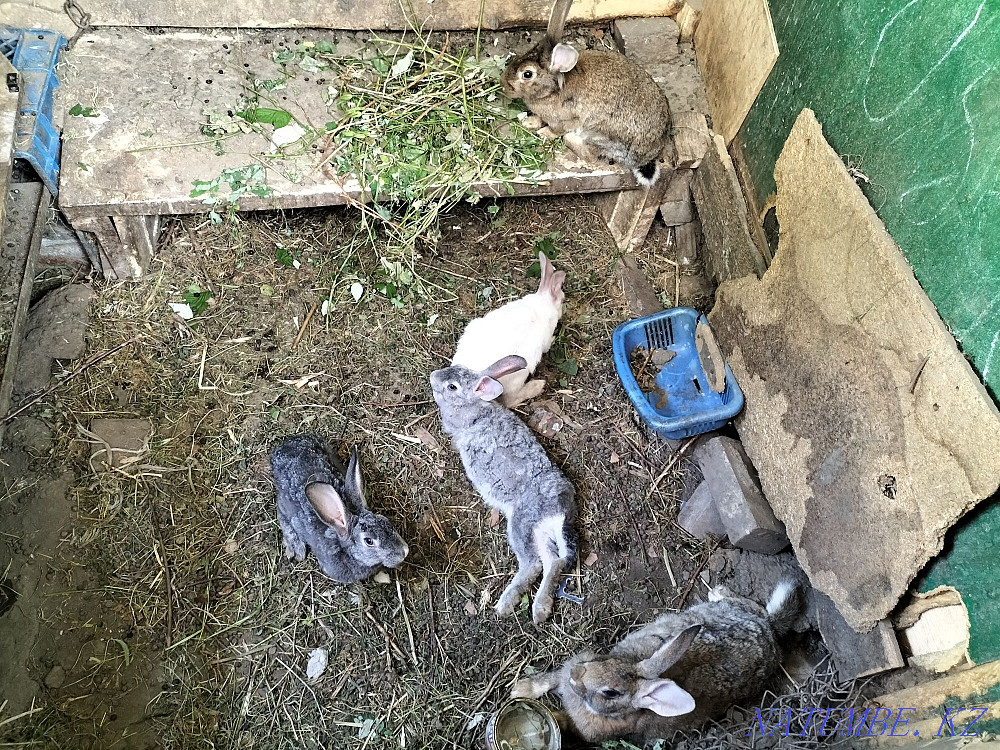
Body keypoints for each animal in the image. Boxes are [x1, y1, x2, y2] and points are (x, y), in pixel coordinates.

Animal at [430, 355, 578, 625]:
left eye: (452, 387)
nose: (433, 377)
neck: (476, 405)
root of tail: (560, 510)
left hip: (520, 524)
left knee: (533, 564)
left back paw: (505, 604)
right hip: (538, 532)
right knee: (554, 562)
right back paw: (541, 609)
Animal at [500, 0, 673, 186]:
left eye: (527, 74)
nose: (503, 85)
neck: (553, 89)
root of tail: (648, 156)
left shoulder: (565, 120)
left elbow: (556, 130)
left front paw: (543, 133)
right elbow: (539, 119)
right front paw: (529, 122)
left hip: (599, 134)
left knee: (590, 154)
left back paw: (570, 139)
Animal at [511, 581, 802, 743]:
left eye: (611, 693)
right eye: (606, 660)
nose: (576, 675)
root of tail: (768, 631)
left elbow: (562, 720)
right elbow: (548, 679)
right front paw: (521, 689)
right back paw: (718, 592)